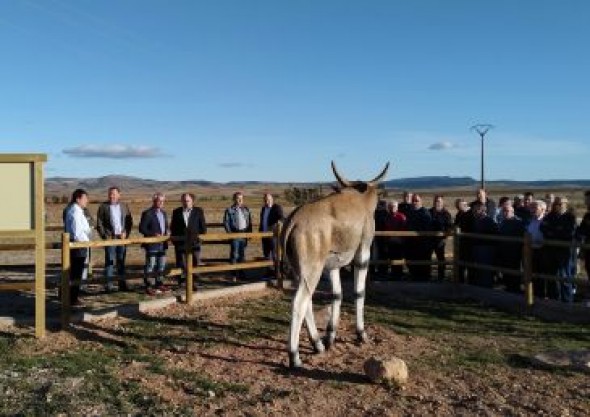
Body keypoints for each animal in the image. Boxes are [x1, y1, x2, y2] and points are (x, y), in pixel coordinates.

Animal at [284, 161, 390, 366]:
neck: (361, 200)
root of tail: (293, 221)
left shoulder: (332, 265)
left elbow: (336, 294)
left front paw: (330, 337)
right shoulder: (363, 253)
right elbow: (359, 292)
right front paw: (361, 334)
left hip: (301, 271)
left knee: (307, 301)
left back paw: (318, 344)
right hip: (312, 270)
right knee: (299, 302)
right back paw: (294, 356)